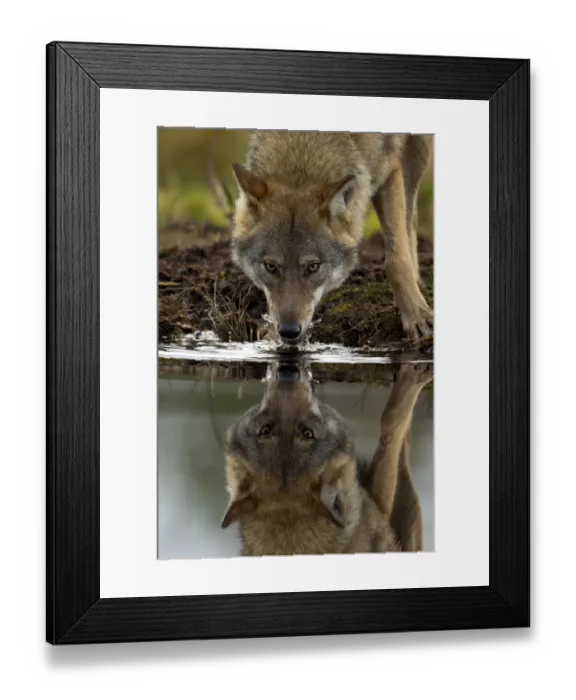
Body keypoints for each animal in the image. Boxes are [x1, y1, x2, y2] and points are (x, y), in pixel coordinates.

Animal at [220, 362, 431, 556]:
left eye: (265, 431)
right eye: (308, 432)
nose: (287, 374)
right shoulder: (381, 504)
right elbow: (391, 422)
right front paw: (414, 376)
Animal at [230, 130, 433, 344]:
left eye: (313, 267)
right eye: (270, 267)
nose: (288, 331)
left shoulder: (390, 170)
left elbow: (396, 260)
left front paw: (417, 316)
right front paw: (271, 333)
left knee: (410, 217)